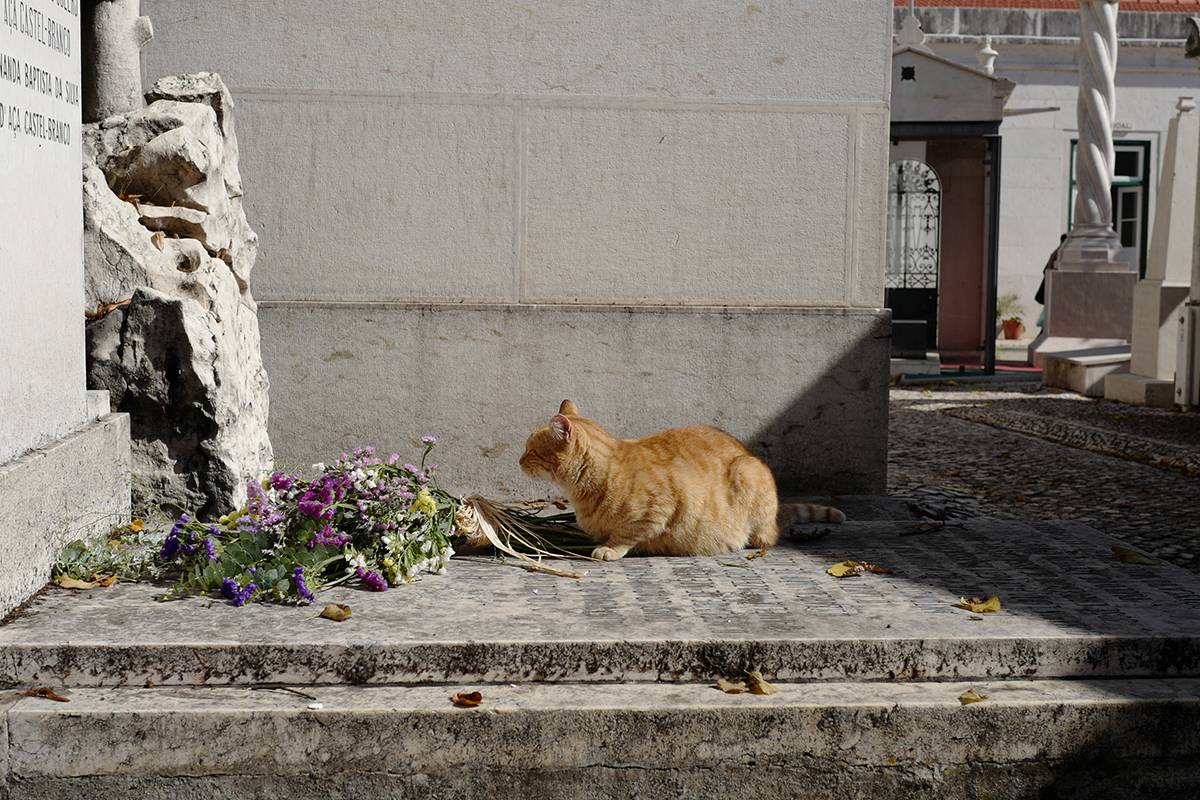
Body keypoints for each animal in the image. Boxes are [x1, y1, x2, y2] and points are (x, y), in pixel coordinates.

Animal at [518, 400, 844, 563]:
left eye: (531, 450)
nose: (519, 461)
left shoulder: (659, 508)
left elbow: (626, 535)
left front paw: (609, 548)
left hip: (748, 474)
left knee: (769, 535)